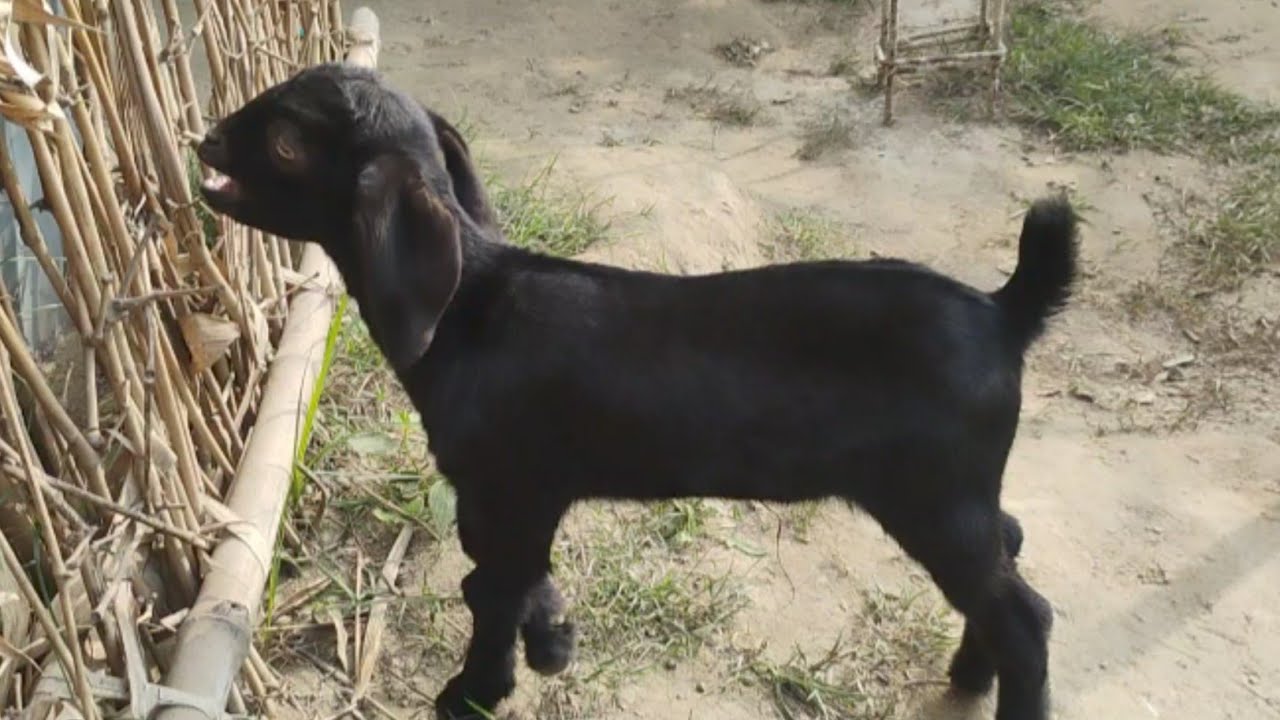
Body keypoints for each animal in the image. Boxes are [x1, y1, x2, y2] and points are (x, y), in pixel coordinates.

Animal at [197, 63, 1076, 720]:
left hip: (930, 496)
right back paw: (971, 673)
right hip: (954, 491)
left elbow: (493, 589)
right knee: (1012, 540)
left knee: (1025, 614)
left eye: (286, 142)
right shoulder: (521, 495)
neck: (469, 312)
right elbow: (504, 576)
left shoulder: (506, 483)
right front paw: (553, 640)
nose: (204, 139)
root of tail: (1005, 310)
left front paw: (476, 691)